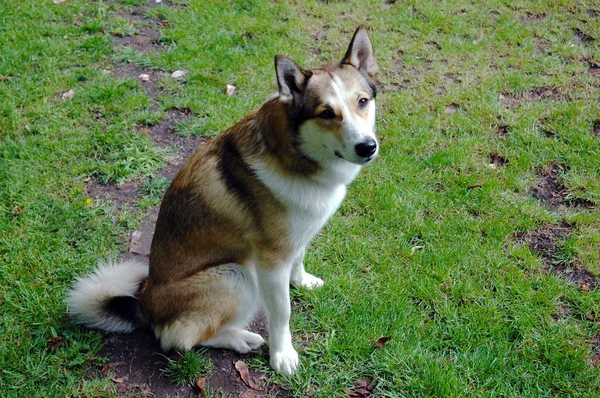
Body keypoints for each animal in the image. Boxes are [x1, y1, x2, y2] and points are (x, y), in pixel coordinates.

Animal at [68, 25, 380, 376]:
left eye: (363, 101)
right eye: (326, 113)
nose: (367, 147)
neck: (295, 154)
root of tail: (144, 304)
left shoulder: (297, 237)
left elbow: (299, 258)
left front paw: (302, 281)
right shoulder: (271, 260)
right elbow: (282, 313)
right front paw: (282, 355)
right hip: (236, 276)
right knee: (176, 338)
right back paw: (240, 338)